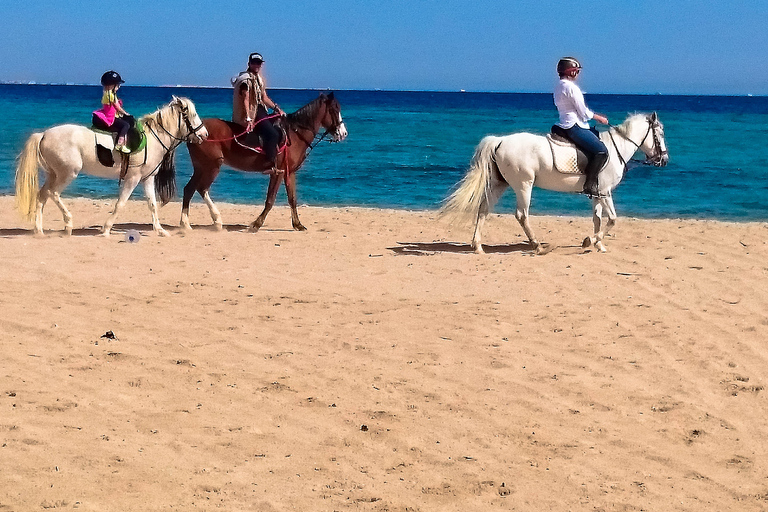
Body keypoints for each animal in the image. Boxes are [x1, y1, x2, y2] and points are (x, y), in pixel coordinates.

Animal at [15, 96, 208, 237]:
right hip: (67, 173)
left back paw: (39, 230)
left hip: (53, 174)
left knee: (42, 196)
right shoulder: (133, 178)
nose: (205, 135)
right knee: (53, 193)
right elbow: (120, 203)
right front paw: (106, 229)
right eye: (192, 115)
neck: (153, 138)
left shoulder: (147, 178)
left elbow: (152, 204)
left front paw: (160, 230)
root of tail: (44, 134)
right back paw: (68, 224)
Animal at [181, 92, 347, 232]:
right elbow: (270, 200)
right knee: (201, 188)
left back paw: (185, 223)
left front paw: (298, 224)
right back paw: (216, 221)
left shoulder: (289, 172)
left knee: (189, 189)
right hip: (212, 166)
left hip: (201, 167)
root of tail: (196, 132)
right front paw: (256, 224)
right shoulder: (277, 172)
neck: (295, 134)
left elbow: (292, 199)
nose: (343, 133)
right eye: (334, 109)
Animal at [440, 112, 668, 253]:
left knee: (484, 209)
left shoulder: (597, 194)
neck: (615, 148)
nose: (664, 160)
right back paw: (537, 246)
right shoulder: (605, 192)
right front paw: (590, 241)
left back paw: (478, 247)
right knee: (522, 215)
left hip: (499, 184)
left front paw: (598, 245)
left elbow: (597, 220)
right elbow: (612, 219)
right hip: (524, 185)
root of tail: (500, 140)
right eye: (660, 133)